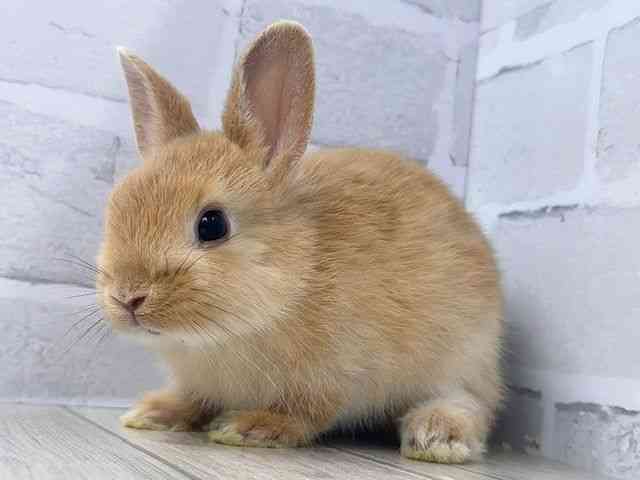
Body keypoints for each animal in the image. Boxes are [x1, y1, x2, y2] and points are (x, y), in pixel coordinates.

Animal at [96, 20, 504, 464]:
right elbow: (192, 398)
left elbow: (305, 411)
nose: (128, 297)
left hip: (466, 356)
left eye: (212, 224)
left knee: (470, 403)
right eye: (115, 207)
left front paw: (251, 428)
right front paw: (153, 413)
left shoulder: (336, 374)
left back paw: (437, 437)